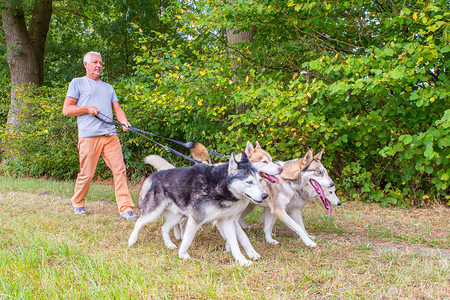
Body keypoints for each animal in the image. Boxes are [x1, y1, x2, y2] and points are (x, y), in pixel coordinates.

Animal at [126, 152, 268, 264]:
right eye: (249, 182)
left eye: (259, 180)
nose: (265, 195)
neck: (218, 186)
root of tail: (157, 174)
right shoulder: (196, 219)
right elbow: (187, 240)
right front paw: (182, 254)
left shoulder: (227, 221)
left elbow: (236, 242)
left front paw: (242, 260)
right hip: (154, 213)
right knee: (139, 222)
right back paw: (132, 240)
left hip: (176, 217)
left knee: (164, 228)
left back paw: (169, 244)